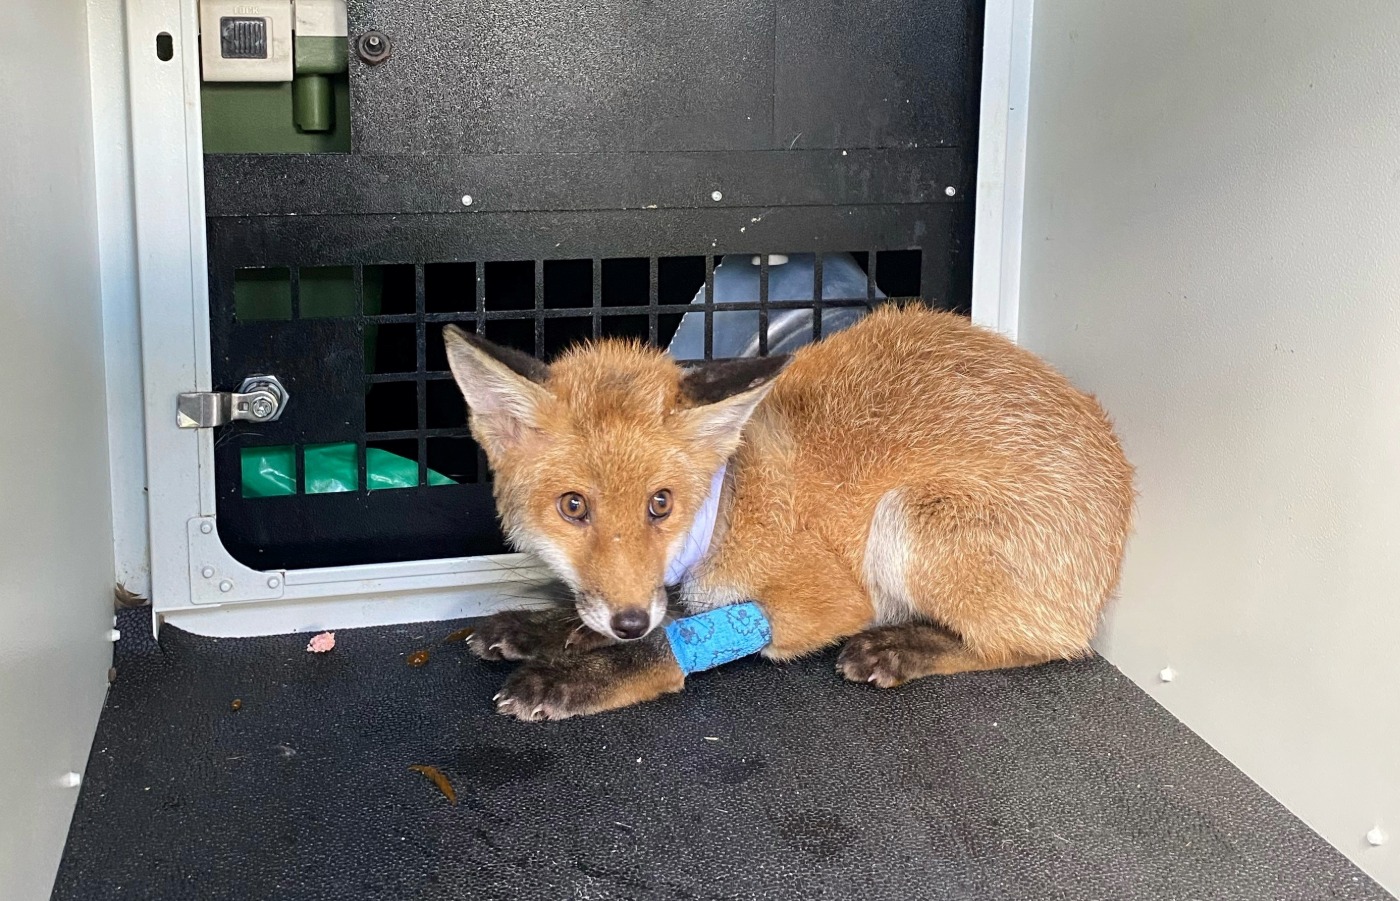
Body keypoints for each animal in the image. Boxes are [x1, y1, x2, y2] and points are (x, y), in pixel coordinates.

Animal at [442, 303, 1134, 722]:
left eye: (660, 504)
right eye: (574, 506)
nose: (629, 622)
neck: (725, 502)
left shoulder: (826, 598)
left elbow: (674, 640)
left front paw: (583, 672)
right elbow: (618, 610)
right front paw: (545, 628)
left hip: (910, 520)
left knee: (1037, 645)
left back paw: (901, 649)